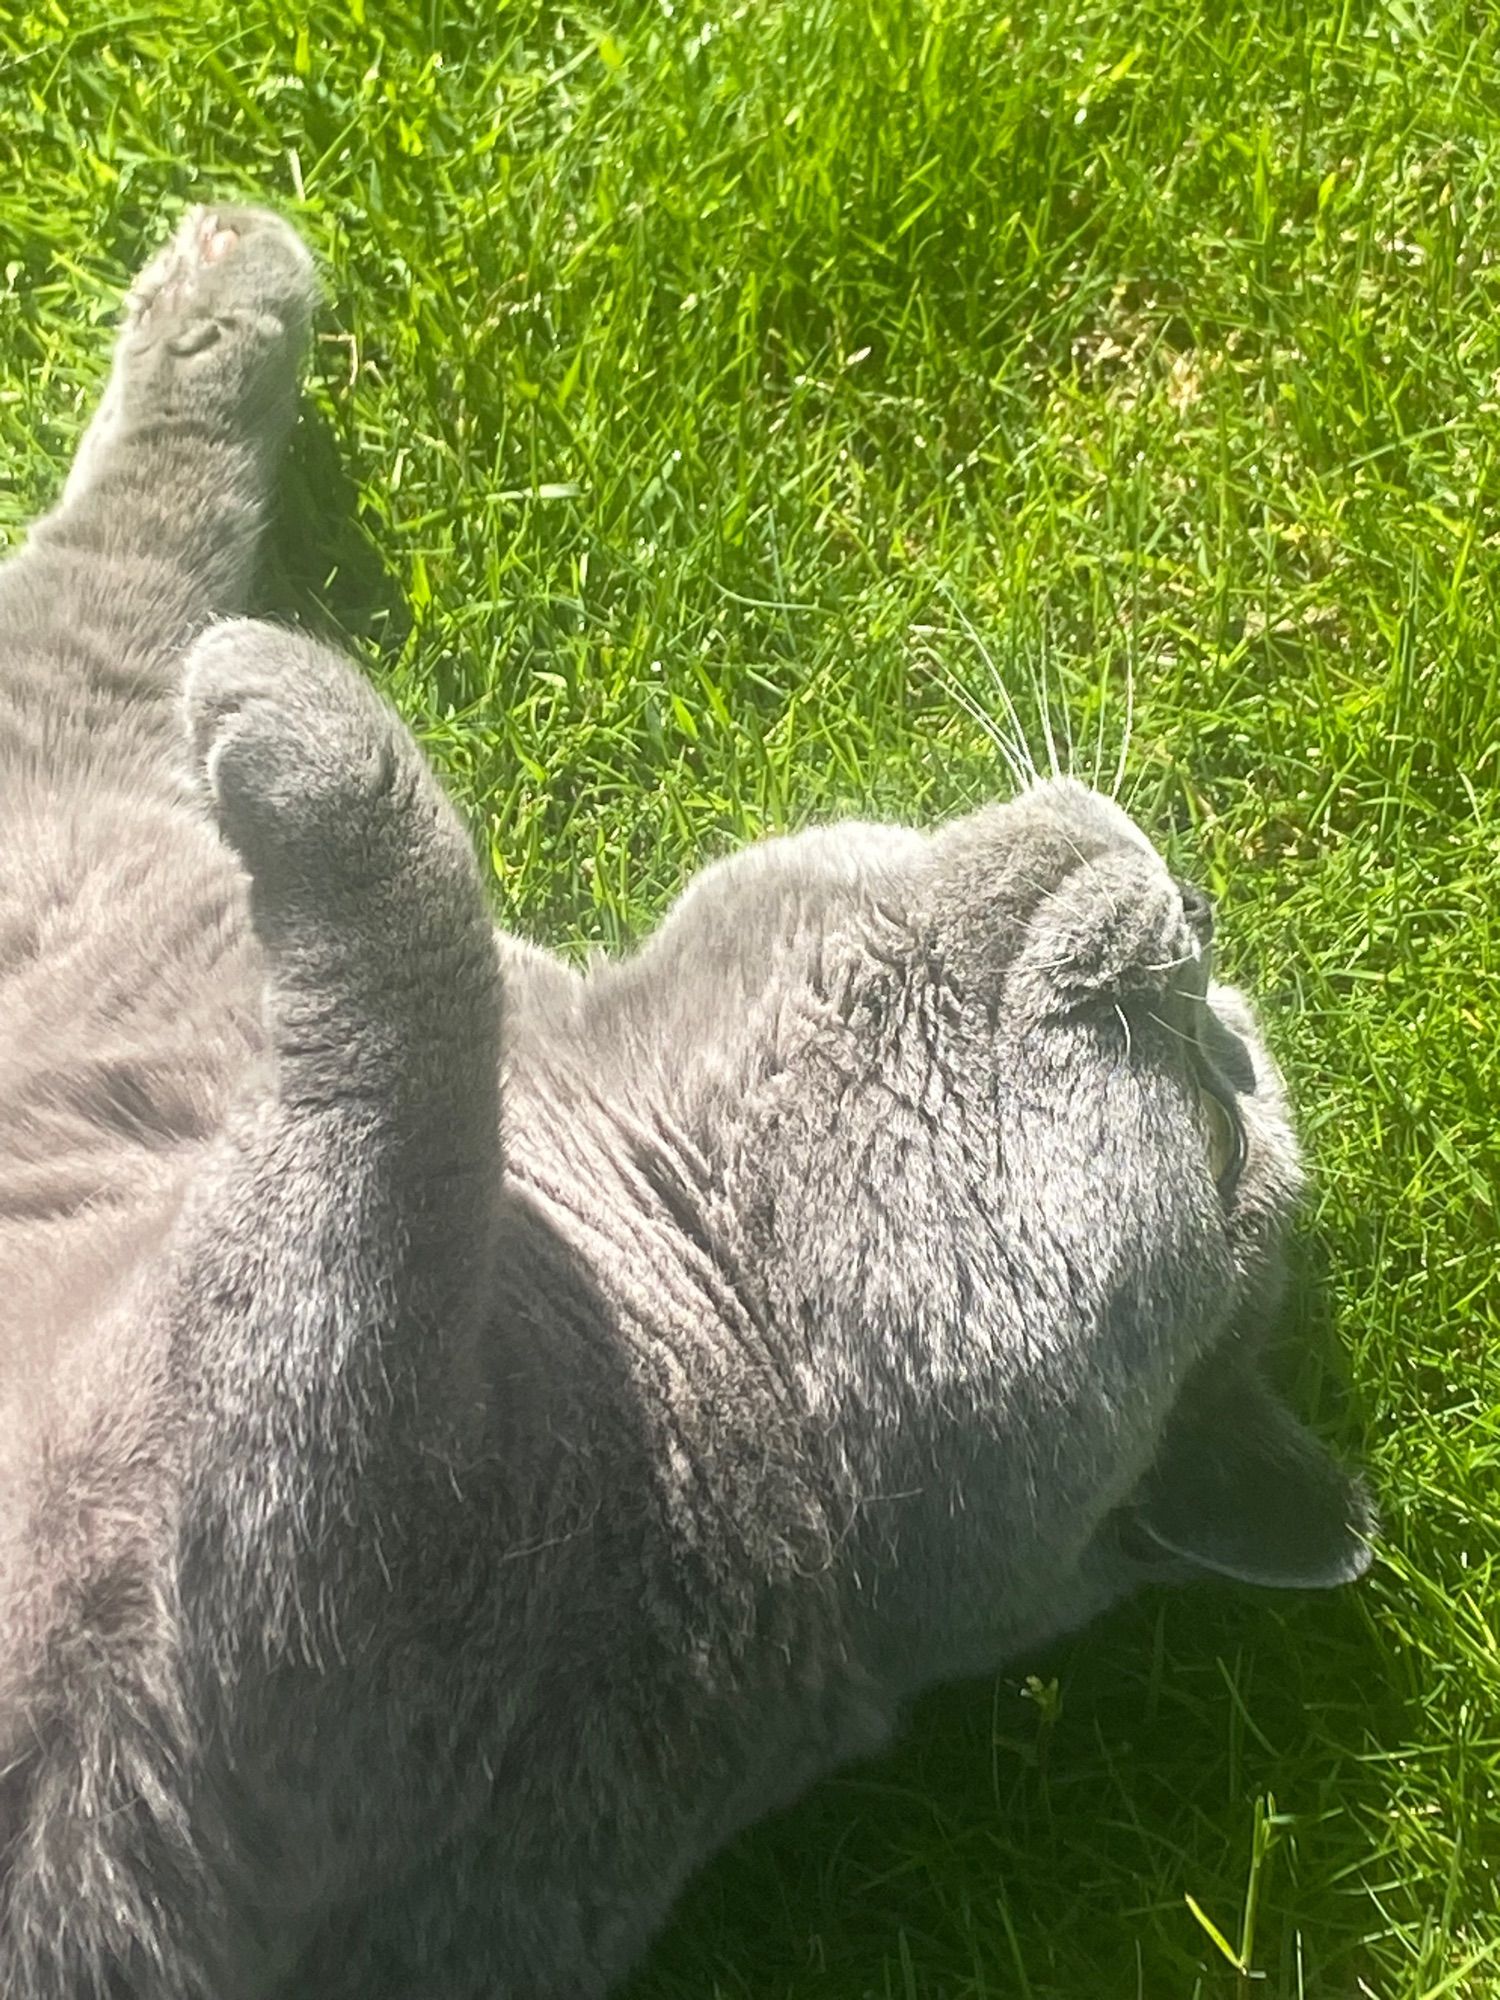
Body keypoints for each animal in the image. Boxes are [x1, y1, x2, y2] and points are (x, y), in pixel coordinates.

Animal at [0, 207, 1376, 2000]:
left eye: (1222, 1123)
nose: (1206, 931)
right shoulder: (69, 819)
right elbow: (110, 581)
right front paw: (233, 287)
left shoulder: (294, 1576)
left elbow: (399, 1145)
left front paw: (304, 711)